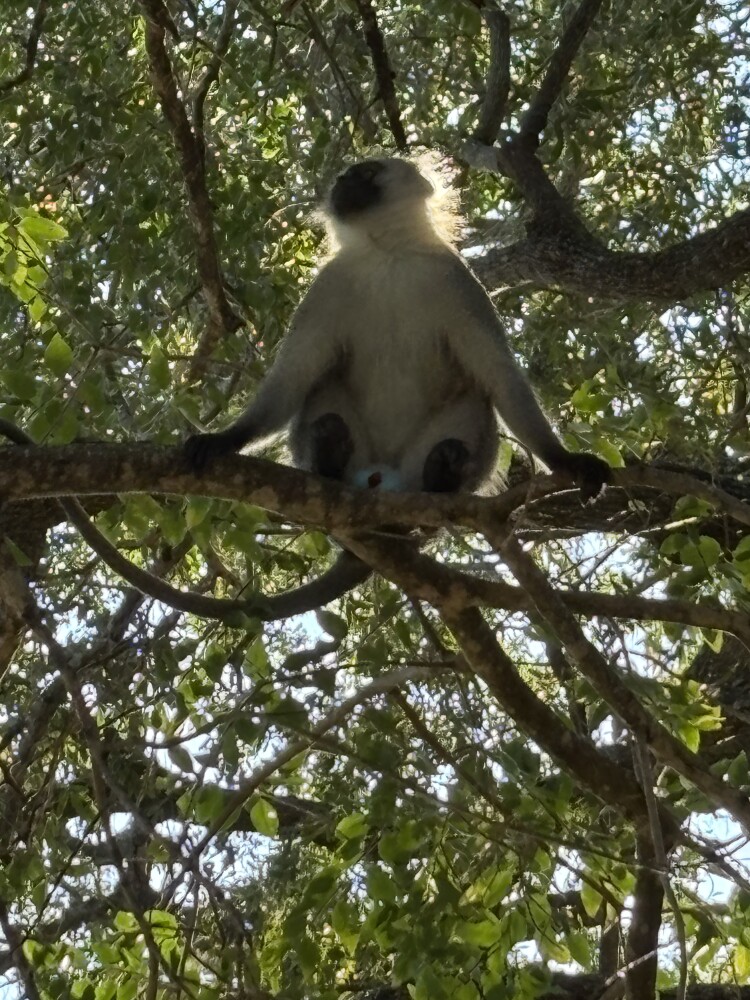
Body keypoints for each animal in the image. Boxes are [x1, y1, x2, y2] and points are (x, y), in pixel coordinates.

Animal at [185, 157, 610, 502]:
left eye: (368, 172)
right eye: (348, 174)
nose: (342, 180)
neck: (387, 254)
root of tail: (383, 474)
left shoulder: (456, 281)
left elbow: (500, 376)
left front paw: (565, 460)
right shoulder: (328, 284)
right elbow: (293, 377)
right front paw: (227, 439)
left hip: (418, 459)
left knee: (474, 399)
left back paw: (442, 475)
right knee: (324, 389)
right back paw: (330, 456)